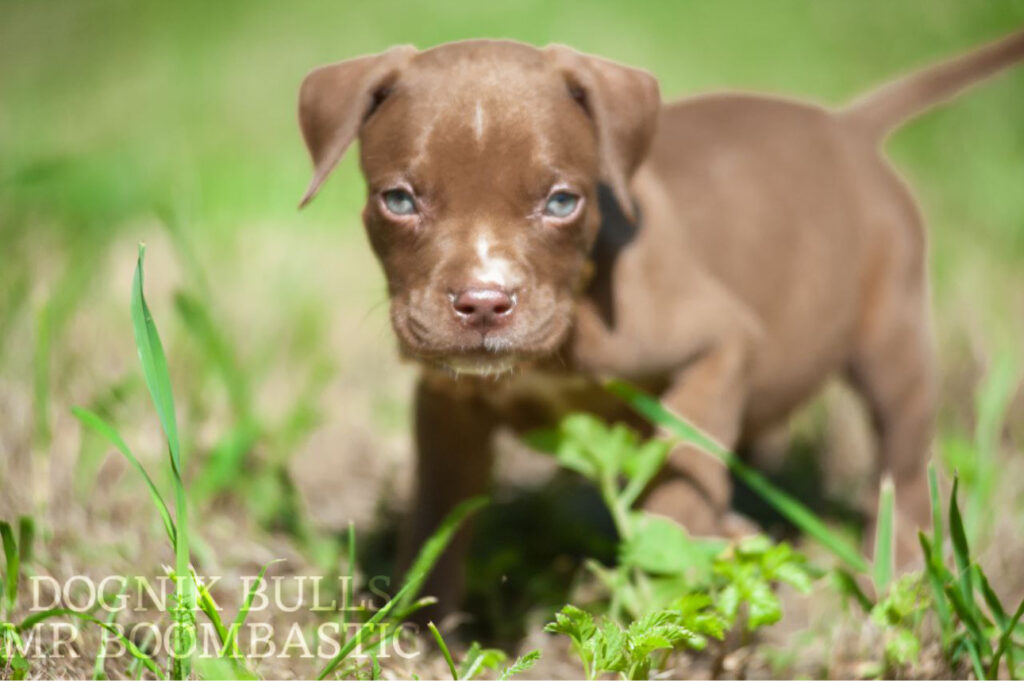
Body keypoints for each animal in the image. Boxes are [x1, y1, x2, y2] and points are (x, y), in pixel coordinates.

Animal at [296, 29, 1024, 606]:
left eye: (562, 202)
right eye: (398, 200)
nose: (483, 301)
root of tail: (848, 127)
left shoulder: (719, 346)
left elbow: (683, 478)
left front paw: (668, 590)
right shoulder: (447, 403)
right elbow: (438, 515)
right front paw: (417, 622)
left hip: (891, 335)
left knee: (901, 453)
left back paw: (894, 567)